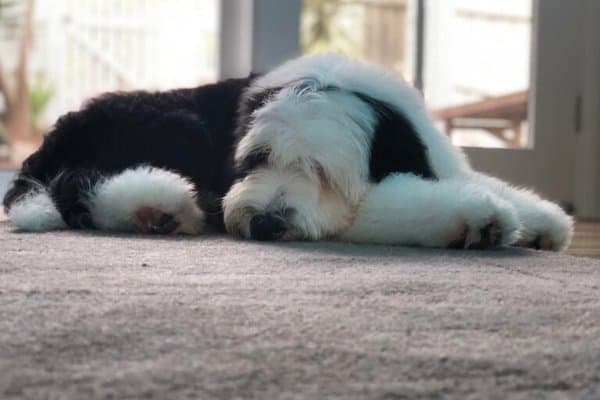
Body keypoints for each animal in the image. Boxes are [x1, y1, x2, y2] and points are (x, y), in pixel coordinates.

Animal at [1, 53, 572, 250]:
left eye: (321, 172)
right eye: (258, 159)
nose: (264, 222)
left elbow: (478, 180)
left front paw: (542, 220)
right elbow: (391, 205)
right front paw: (481, 219)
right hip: (178, 127)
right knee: (77, 183)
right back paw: (157, 206)